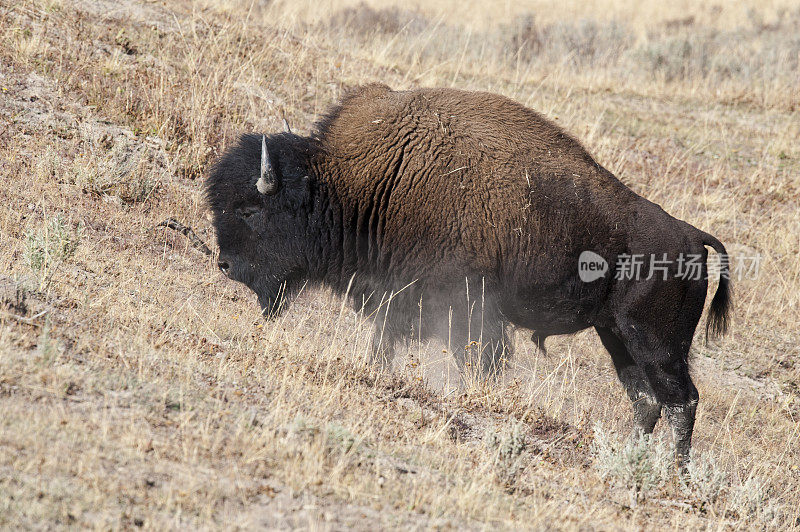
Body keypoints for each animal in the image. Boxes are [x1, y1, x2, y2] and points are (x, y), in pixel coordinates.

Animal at [206, 84, 732, 462]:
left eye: (251, 210)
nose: (225, 265)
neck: (361, 183)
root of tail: (690, 235)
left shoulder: (463, 306)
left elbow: (471, 357)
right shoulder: (402, 299)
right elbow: (386, 344)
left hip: (655, 341)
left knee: (681, 401)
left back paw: (673, 471)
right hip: (616, 336)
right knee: (647, 400)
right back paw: (631, 457)